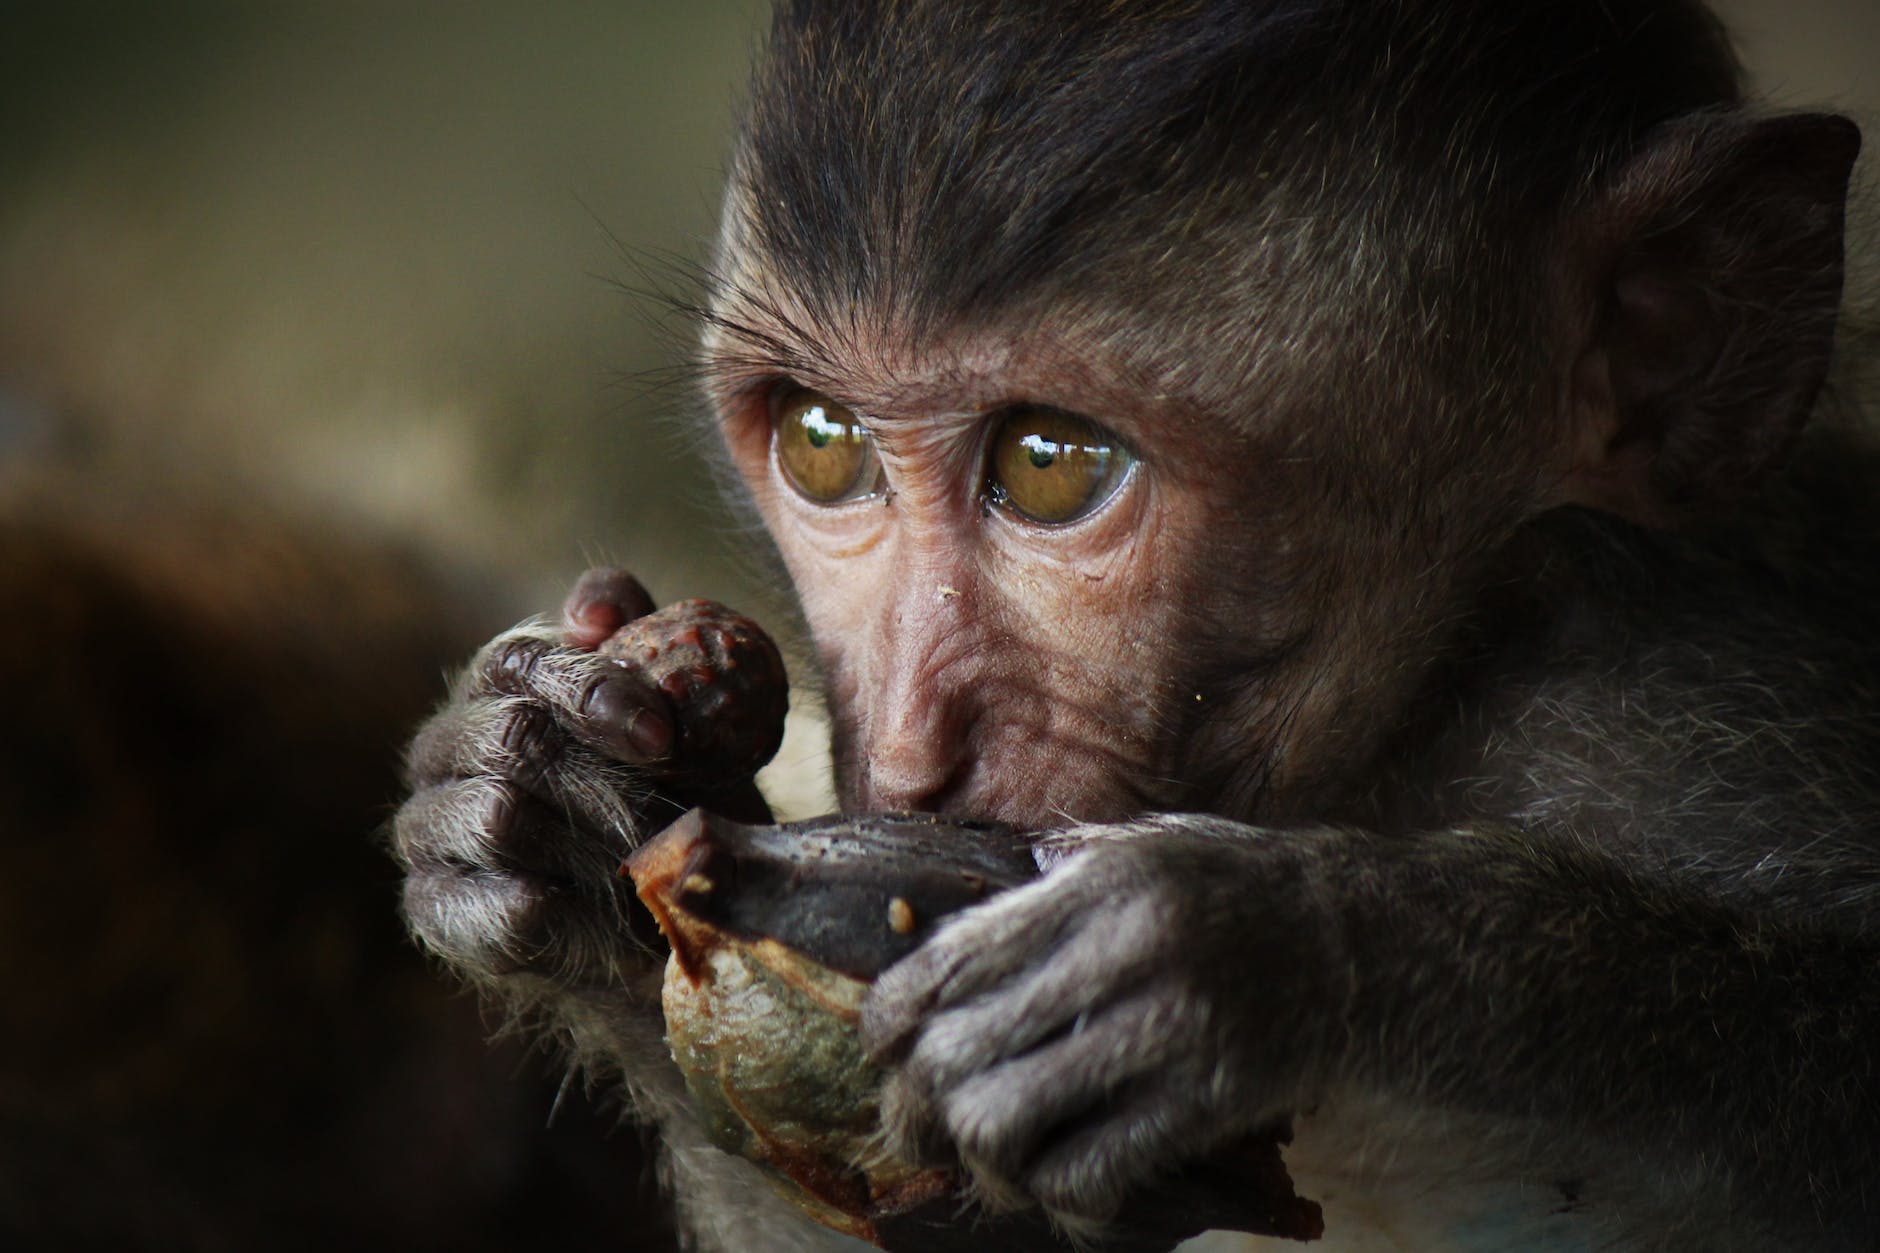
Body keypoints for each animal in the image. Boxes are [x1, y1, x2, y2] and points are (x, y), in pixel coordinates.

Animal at [392, 1, 1879, 1249]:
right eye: (822, 441)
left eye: (1051, 463)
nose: (915, 749)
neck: (1420, 722)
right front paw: (543, 795)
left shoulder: (1695, 689)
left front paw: (1280, 946)